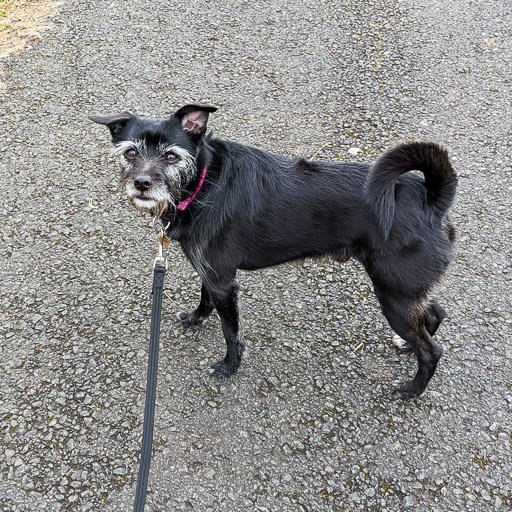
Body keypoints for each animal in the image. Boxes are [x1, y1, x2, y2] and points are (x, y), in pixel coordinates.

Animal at [90, 105, 458, 400]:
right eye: (131, 153)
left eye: (171, 156)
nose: (141, 183)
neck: (203, 184)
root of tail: (430, 199)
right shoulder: (211, 272)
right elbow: (204, 297)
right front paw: (197, 318)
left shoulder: (224, 282)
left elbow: (231, 332)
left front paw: (230, 365)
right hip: (404, 290)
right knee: (435, 312)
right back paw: (408, 346)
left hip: (394, 294)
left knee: (433, 351)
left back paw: (413, 389)